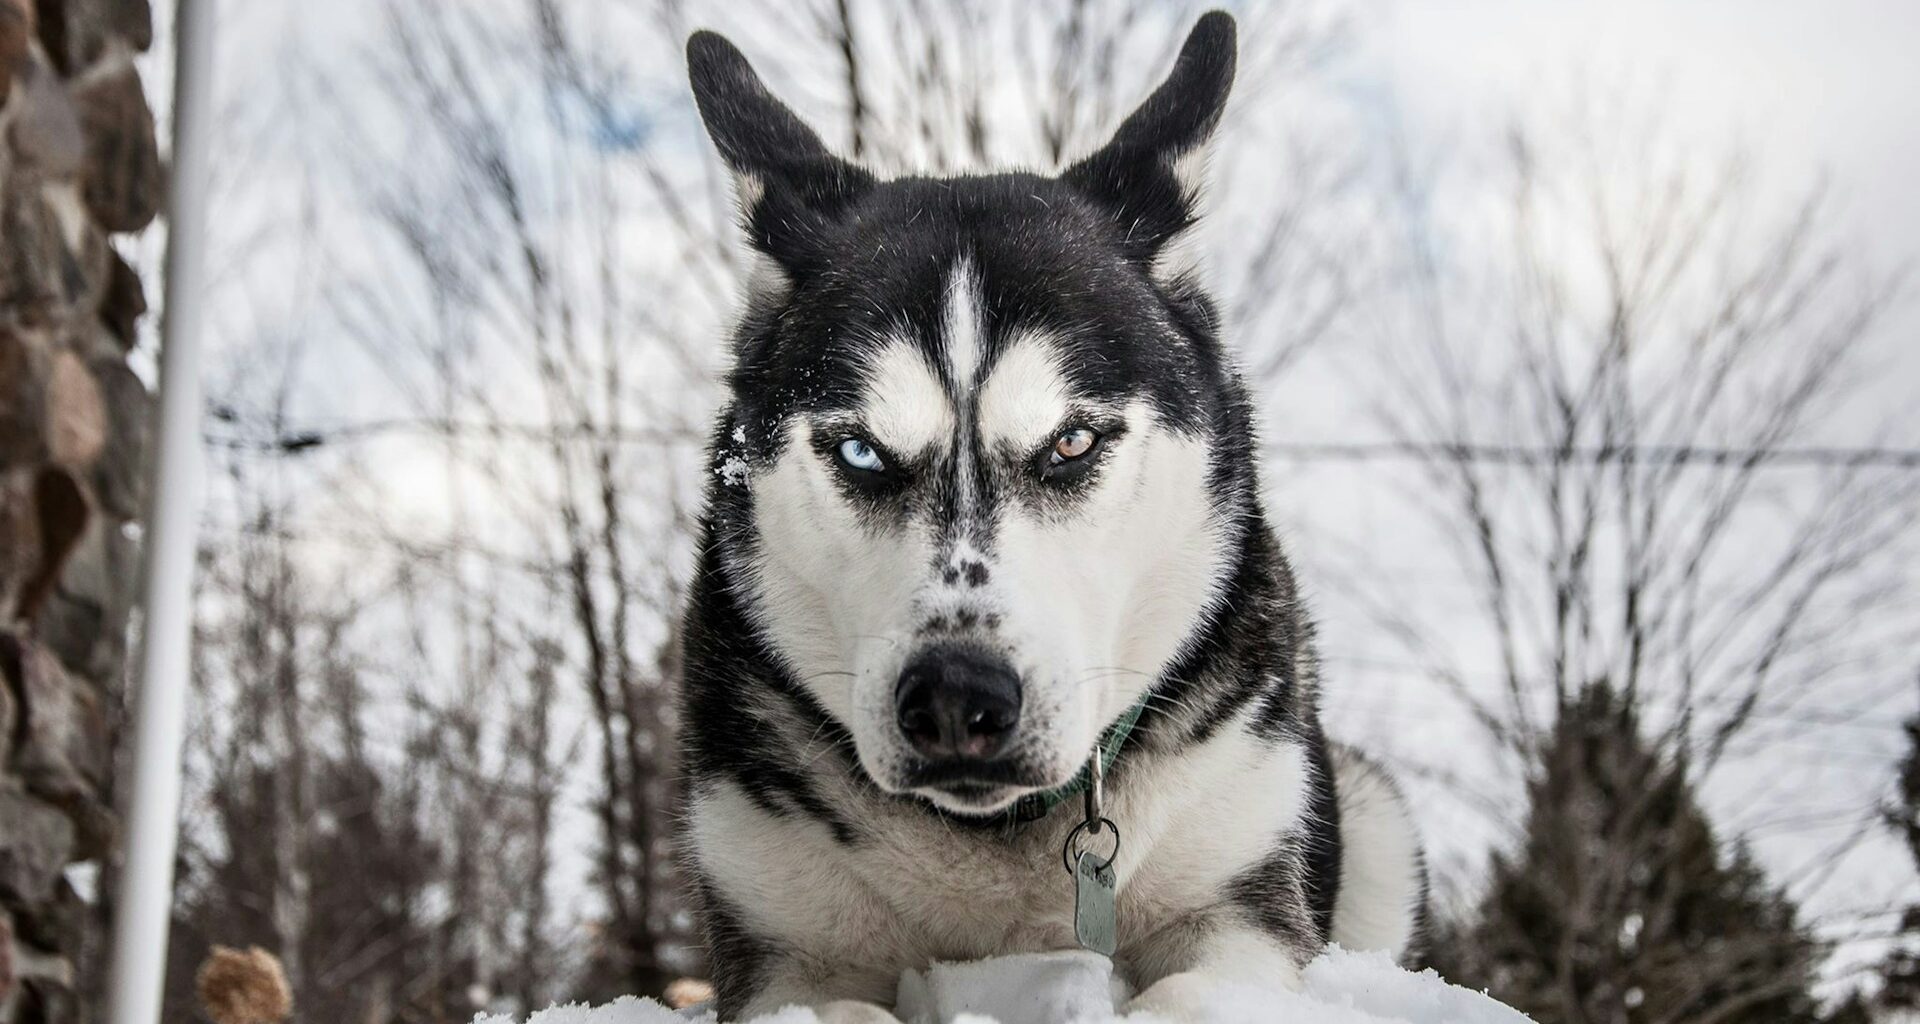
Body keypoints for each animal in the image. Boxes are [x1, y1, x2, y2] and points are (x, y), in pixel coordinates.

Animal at [679, 9, 1428, 1022]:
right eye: (861, 452)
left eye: (1071, 442)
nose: (955, 697)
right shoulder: (786, 947)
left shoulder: (1239, 912)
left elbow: (1192, 992)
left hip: (1372, 815)